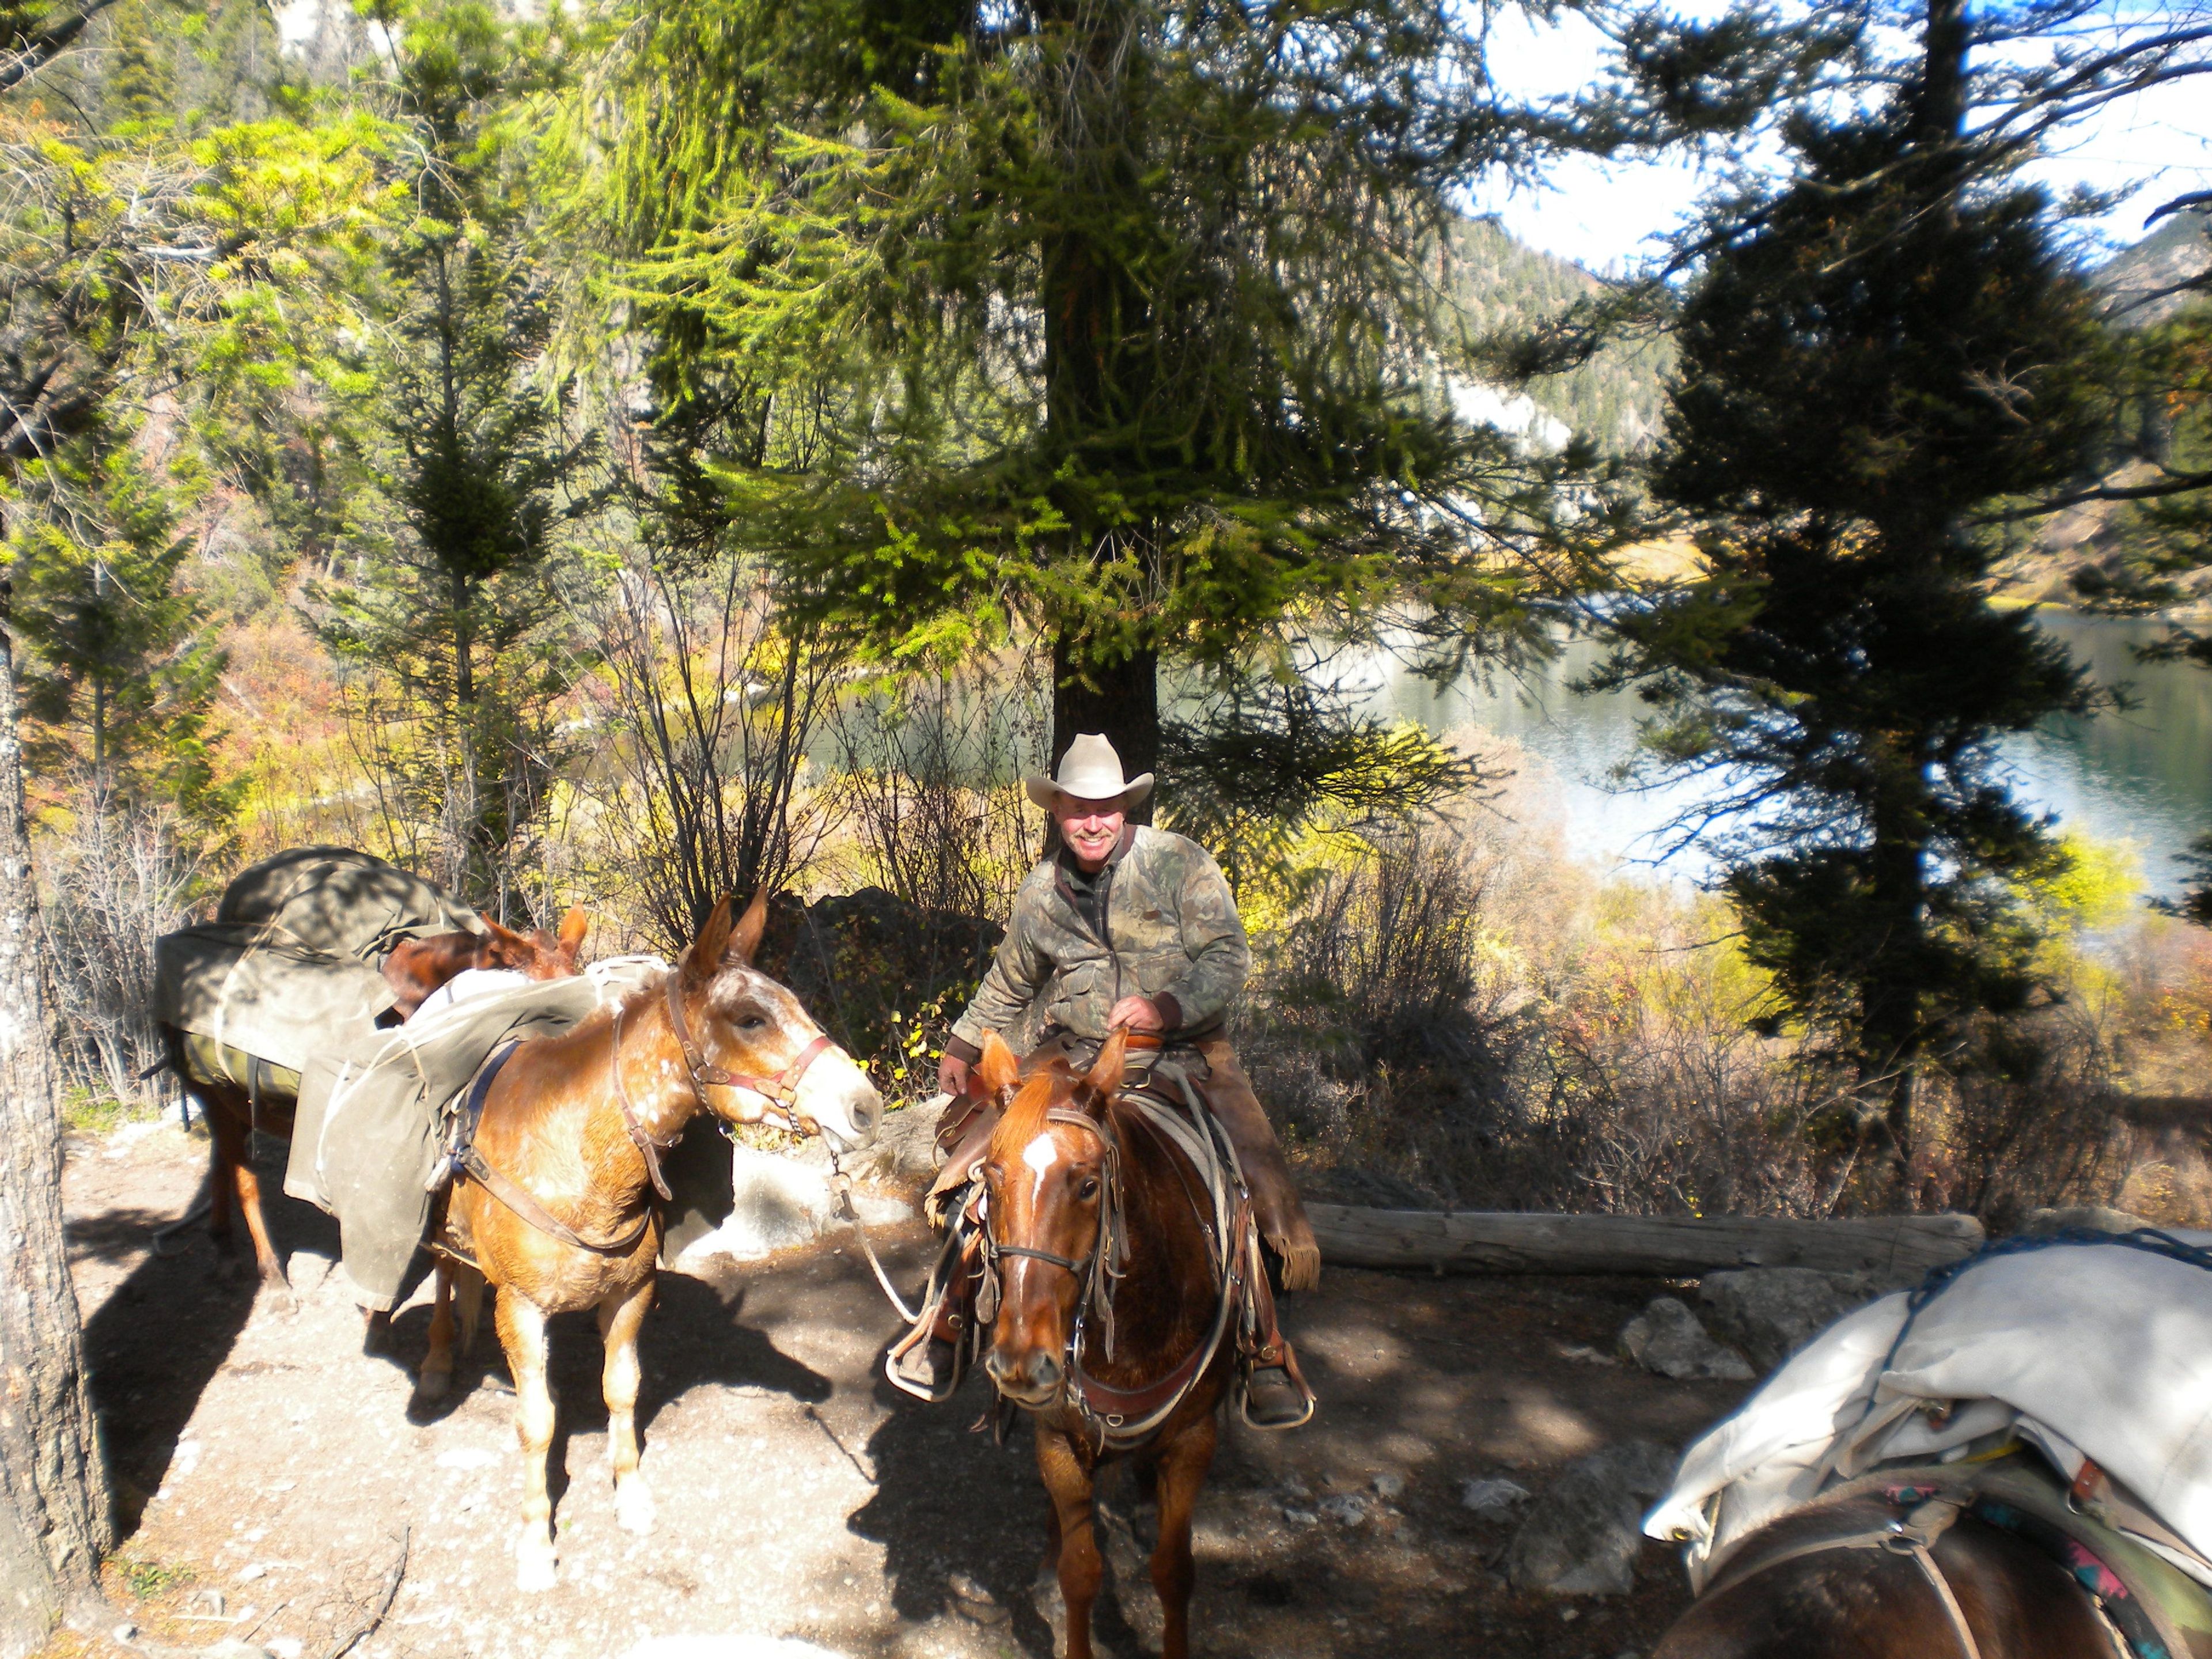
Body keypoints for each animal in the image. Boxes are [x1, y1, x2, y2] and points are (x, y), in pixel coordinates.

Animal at [411, 898, 876, 1601]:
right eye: (751, 1018)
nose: (865, 1106)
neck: (576, 1154)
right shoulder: (520, 1310)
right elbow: (537, 1423)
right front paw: (534, 1546)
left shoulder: (631, 1295)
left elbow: (621, 1389)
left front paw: (630, 1498)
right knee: (443, 1275)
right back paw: (439, 1362)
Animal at [968, 1035, 1247, 1654]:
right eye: (991, 1183)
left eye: (1089, 1185)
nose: (1021, 1360)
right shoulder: (1057, 1438)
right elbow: (1080, 1571)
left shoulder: (1194, 1439)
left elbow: (1174, 1571)